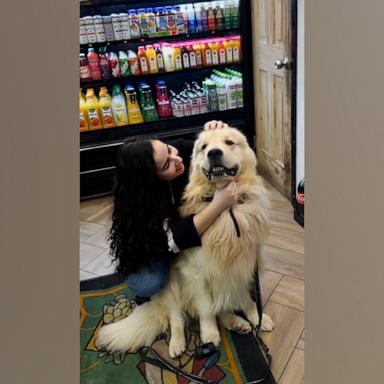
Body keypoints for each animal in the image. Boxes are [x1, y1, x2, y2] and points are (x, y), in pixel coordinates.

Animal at [97, 127, 274, 358]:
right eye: (204, 147)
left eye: (229, 142)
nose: (214, 153)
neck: (225, 209)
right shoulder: (198, 274)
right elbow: (206, 309)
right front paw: (209, 334)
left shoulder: (245, 264)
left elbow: (246, 298)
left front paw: (257, 319)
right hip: (171, 286)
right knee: (177, 318)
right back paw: (177, 343)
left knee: (221, 307)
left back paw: (237, 322)